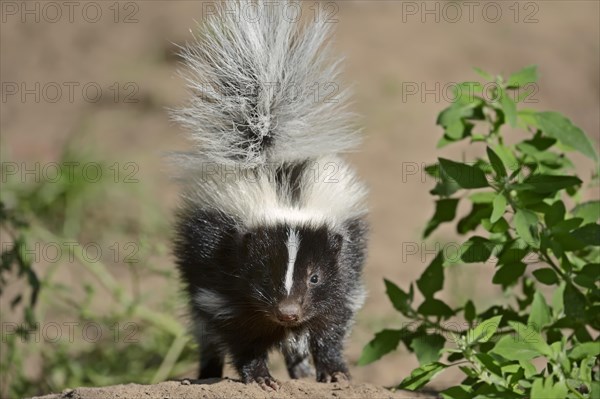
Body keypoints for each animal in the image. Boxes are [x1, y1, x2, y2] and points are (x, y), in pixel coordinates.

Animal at [171, 0, 368, 390]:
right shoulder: (220, 275)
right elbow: (239, 329)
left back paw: (300, 368)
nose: (288, 311)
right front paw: (259, 376)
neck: (285, 197)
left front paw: (333, 370)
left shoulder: (344, 271)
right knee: (205, 329)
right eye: (263, 274)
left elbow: (331, 320)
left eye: (315, 277)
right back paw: (206, 373)